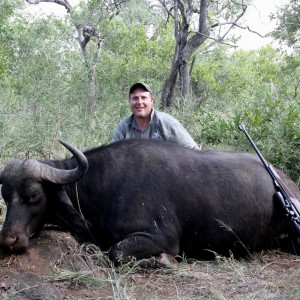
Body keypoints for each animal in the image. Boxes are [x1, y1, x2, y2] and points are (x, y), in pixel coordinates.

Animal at [0, 139, 300, 264]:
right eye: (5, 196)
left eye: (34, 195)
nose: (9, 240)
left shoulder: (162, 238)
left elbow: (115, 253)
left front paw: (162, 262)